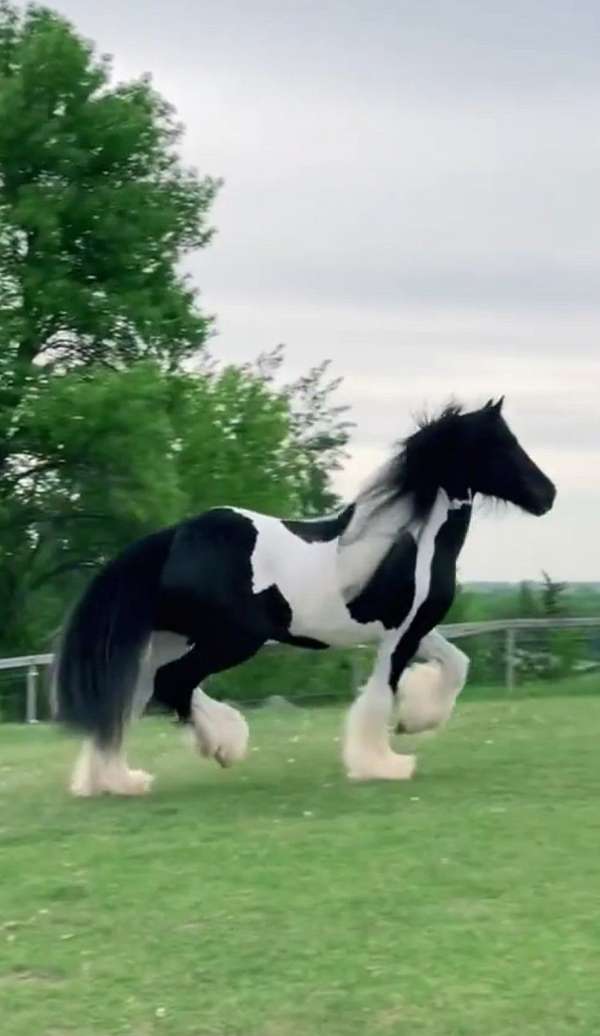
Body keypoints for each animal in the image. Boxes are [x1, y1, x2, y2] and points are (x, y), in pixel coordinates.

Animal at [54, 398, 555, 796]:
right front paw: (383, 762)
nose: (547, 495)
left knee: (130, 698)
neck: (411, 540)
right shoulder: (402, 634)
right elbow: (380, 695)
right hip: (232, 640)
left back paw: (116, 780)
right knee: (171, 685)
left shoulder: (411, 629)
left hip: (169, 638)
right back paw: (223, 745)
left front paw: (415, 719)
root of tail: (175, 536)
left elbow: (457, 666)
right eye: (503, 444)